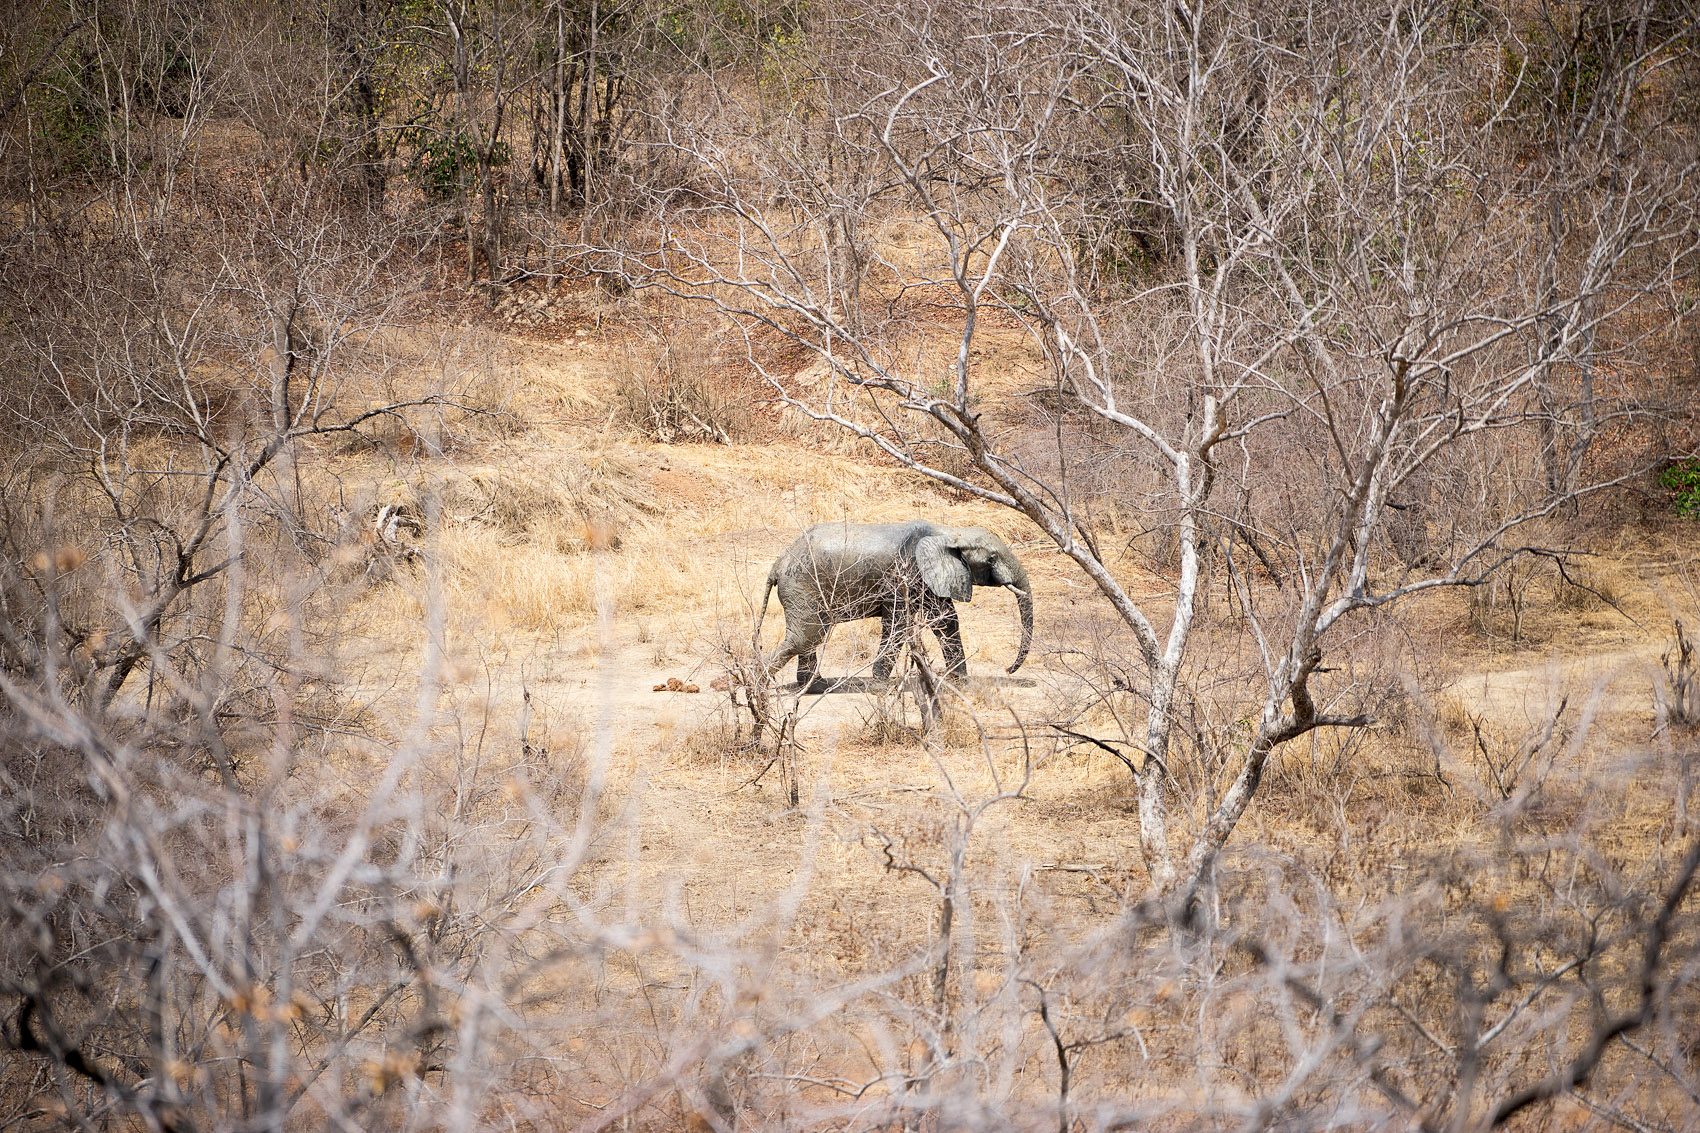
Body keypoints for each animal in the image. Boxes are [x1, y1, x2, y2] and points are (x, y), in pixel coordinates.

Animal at [759, 520, 1033, 688]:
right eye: (992, 558)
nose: (1008, 669)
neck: (950, 532)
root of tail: (777, 564)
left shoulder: (928, 578)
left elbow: (946, 621)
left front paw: (959, 682)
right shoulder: (903, 576)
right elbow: (897, 625)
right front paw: (880, 684)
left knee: (811, 637)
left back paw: (816, 687)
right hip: (801, 585)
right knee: (806, 636)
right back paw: (760, 682)